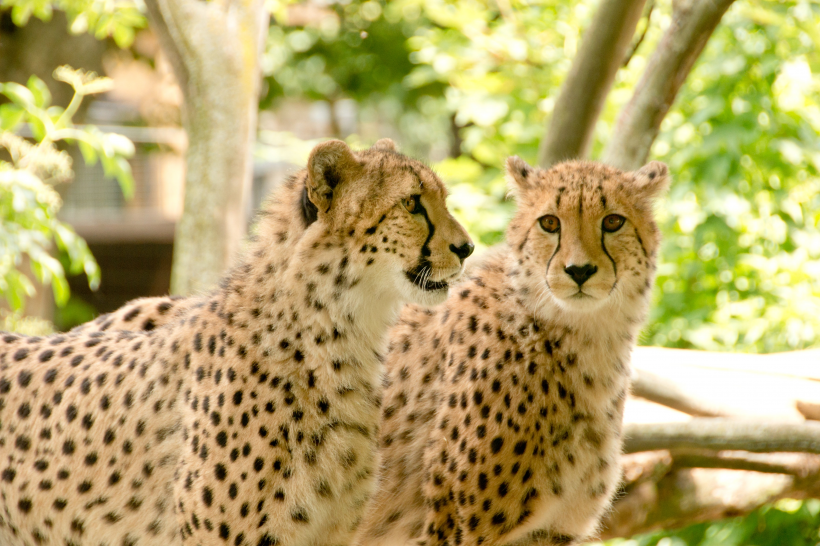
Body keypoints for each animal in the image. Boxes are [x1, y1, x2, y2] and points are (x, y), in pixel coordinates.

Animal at [356, 155, 668, 540]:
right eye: (549, 222)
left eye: (613, 221)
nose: (579, 270)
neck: (587, 338)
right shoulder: (455, 527)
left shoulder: (551, 532)